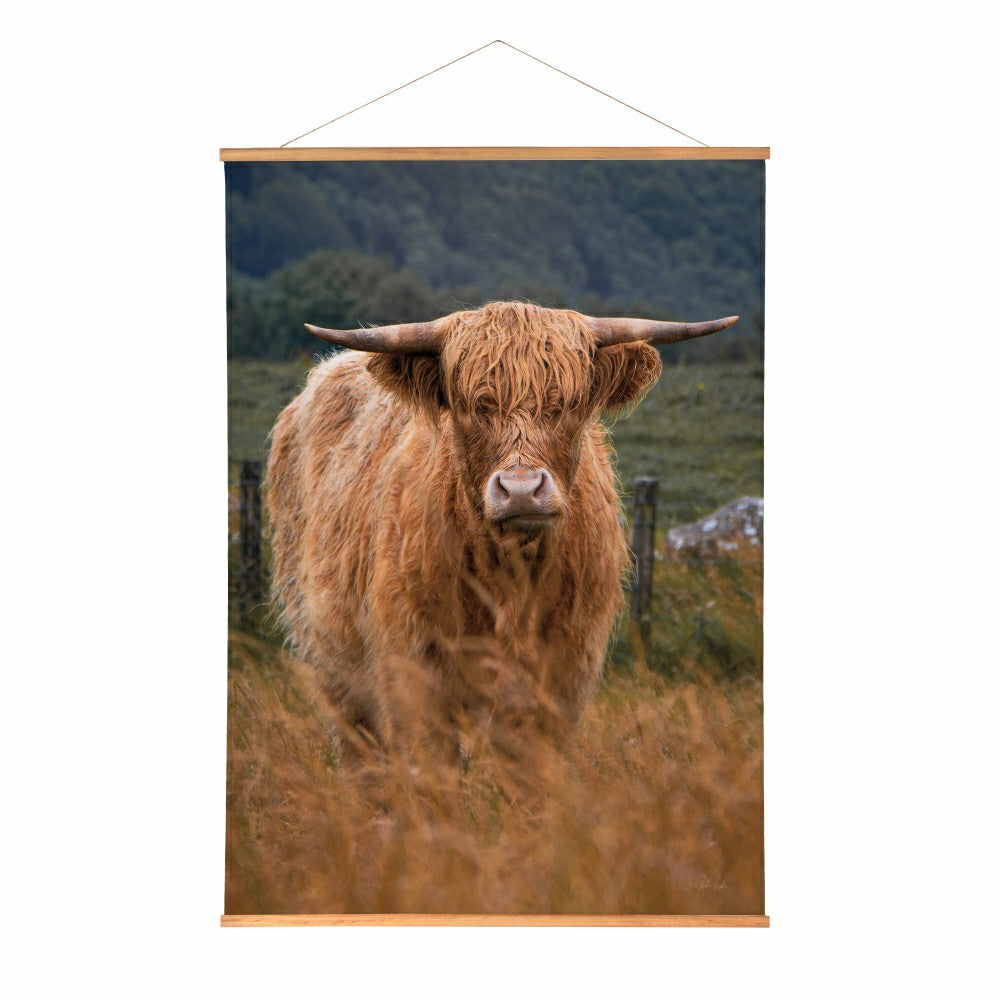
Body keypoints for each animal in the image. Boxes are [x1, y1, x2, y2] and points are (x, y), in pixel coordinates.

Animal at [266, 302, 737, 752]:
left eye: (567, 405)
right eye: (472, 406)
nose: (522, 490)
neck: (512, 583)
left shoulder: (560, 683)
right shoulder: (414, 682)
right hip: (330, 664)